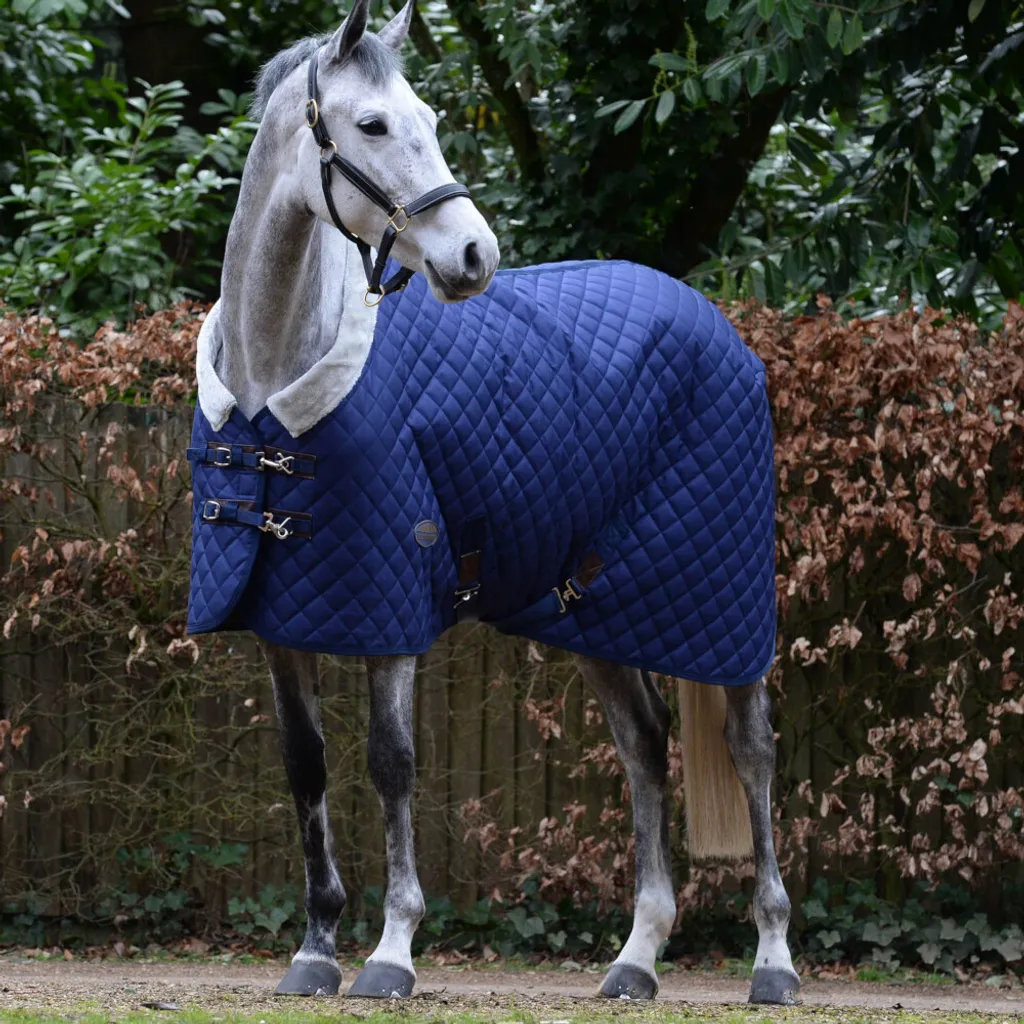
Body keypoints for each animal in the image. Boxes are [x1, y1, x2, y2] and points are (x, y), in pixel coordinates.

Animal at [185, 0, 799, 1004]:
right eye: (372, 125)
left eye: (432, 118)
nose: (474, 255)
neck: (278, 381)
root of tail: (718, 327)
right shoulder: (281, 618)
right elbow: (306, 767)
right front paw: (315, 949)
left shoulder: (388, 610)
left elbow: (391, 764)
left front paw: (392, 952)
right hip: (597, 608)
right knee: (644, 744)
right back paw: (636, 958)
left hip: (719, 599)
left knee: (751, 751)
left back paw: (774, 962)